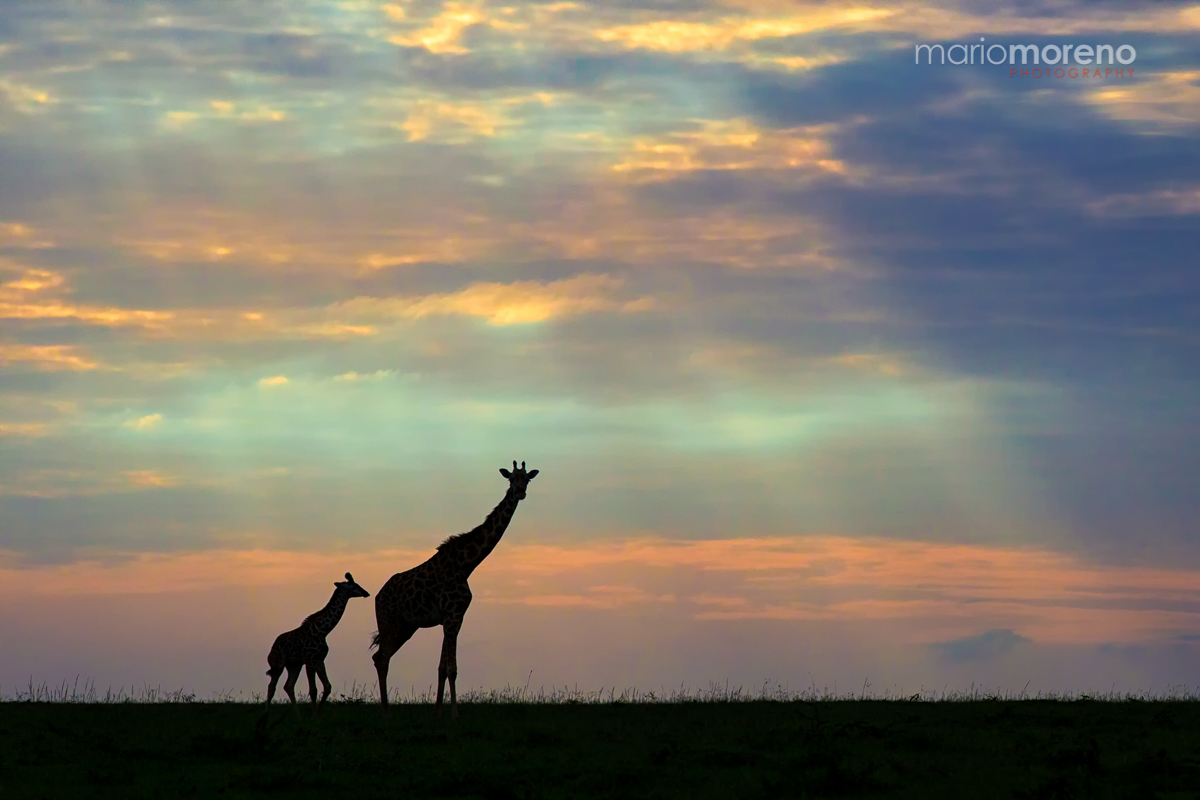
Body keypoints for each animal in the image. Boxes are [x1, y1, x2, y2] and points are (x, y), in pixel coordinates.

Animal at [264, 572, 370, 720]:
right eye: (353, 586)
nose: (366, 593)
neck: (323, 630)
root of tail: (271, 651)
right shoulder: (310, 661)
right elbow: (313, 690)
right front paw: (314, 715)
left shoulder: (319, 660)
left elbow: (327, 687)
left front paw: (317, 714)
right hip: (278, 664)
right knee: (271, 687)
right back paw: (266, 716)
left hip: (294, 665)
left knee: (288, 686)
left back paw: (299, 717)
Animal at [370, 460, 539, 718]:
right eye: (511, 479)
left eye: (527, 479)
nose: (520, 493)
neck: (466, 565)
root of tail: (378, 596)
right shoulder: (451, 616)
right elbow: (452, 669)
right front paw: (455, 714)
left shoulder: (454, 618)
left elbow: (442, 668)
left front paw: (438, 712)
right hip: (390, 621)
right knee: (382, 659)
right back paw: (386, 712)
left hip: (407, 626)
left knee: (379, 656)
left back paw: (386, 709)